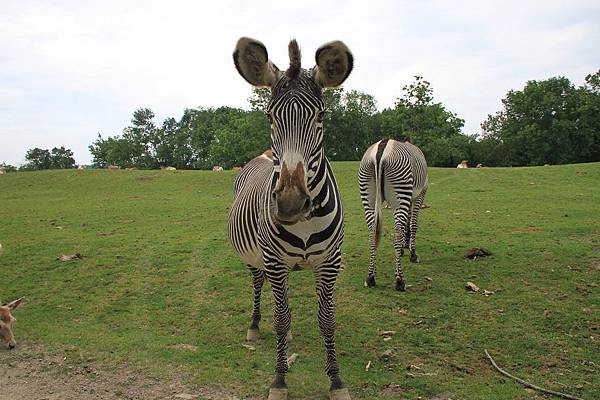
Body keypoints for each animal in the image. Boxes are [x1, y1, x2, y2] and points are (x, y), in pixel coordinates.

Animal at [229, 37, 352, 400]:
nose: (290, 203)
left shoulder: (330, 261)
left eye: (321, 115)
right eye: (269, 116)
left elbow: (327, 319)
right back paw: (256, 326)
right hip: (257, 258)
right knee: (260, 286)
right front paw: (280, 380)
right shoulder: (273, 259)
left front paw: (336, 381)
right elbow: (282, 317)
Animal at [358, 139, 428, 292]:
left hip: (369, 196)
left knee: (373, 234)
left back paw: (371, 277)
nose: (407, 247)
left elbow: (405, 224)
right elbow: (412, 224)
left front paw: (403, 247)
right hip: (401, 193)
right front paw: (412, 253)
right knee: (396, 234)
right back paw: (399, 281)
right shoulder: (420, 194)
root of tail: (381, 148)